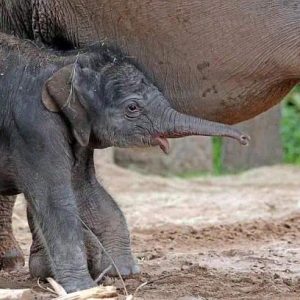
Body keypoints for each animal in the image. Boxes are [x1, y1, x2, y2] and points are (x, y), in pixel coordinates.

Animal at [0, 33, 248, 292]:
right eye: (132, 107)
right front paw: (85, 288)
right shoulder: (34, 127)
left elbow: (86, 189)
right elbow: (54, 198)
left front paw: (124, 273)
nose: (244, 139)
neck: (63, 63)